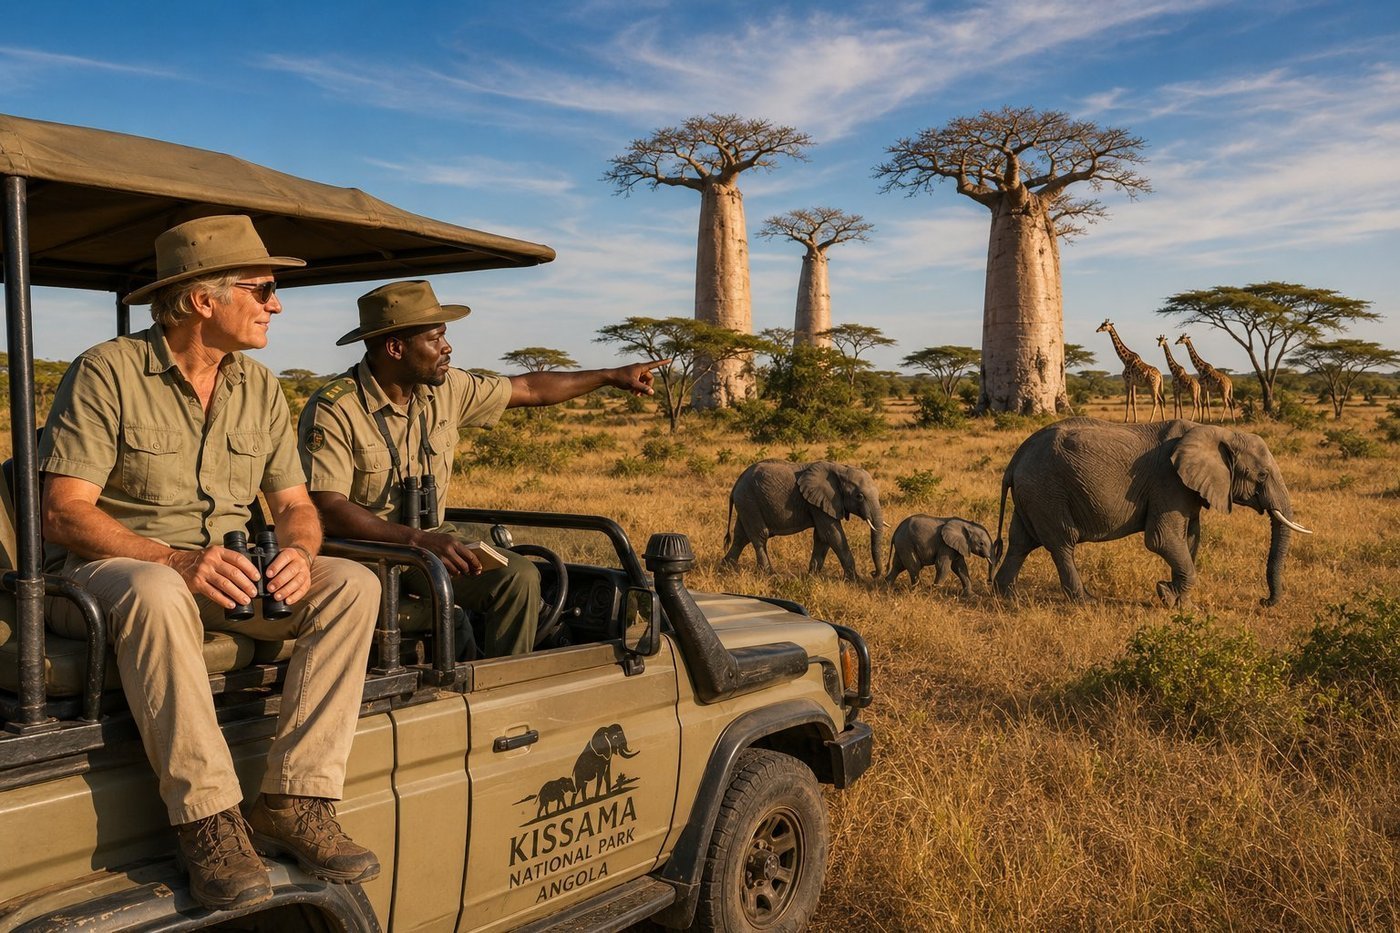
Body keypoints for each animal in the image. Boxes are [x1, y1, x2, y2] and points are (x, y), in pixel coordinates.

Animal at [722, 460, 886, 580]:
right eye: (859, 496)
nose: (873, 573)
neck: (840, 469)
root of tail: (736, 483)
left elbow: (822, 537)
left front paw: (812, 577)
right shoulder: (819, 502)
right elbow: (832, 535)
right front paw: (855, 580)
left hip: (746, 503)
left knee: (741, 537)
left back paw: (724, 569)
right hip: (749, 500)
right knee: (760, 535)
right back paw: (769, 575)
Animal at [992, 418, 1311, 607]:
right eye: (1261, 475)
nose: (1263, 601)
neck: (1217, 432)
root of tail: (1016, 458)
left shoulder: (1186, 488)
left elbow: (1190, 538)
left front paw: (1180, 602)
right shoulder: (1167, 481)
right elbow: (1161, 539)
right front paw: (1167, 596)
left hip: (1033, 493)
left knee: (1021, 542)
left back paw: (1006, 597)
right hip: (1047, 489)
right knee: (1061, 543)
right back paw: (1086, 601)